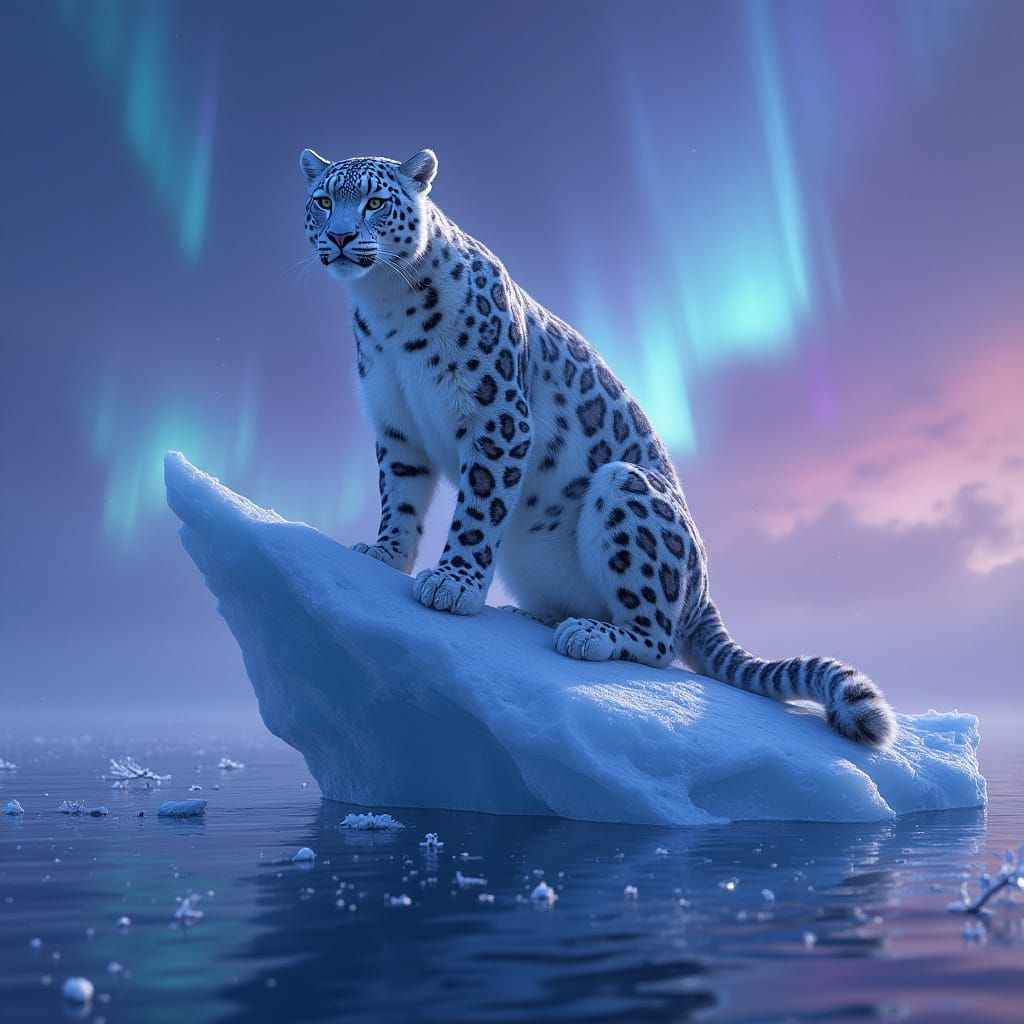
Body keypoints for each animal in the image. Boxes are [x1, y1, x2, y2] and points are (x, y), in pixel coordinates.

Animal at [299, 146, 896, 748]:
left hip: (625, 487)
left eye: (375, 202)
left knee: (657, 641)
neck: (385, 308)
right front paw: (384, 554)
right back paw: (535, 617)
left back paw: (587, 634)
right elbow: (399, 500)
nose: (342, 236)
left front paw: (452, 585)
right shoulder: (396, 425)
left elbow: (477, 511)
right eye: (324, 200)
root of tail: (704, 596)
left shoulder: (499, 417)